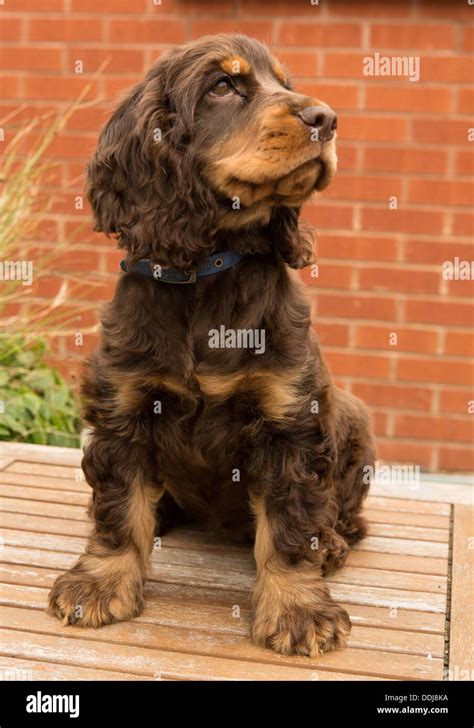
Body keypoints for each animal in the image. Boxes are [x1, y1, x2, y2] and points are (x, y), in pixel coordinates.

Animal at [48, 35, 374, 660]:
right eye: (223, 86)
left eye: (285, 83)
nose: (327, 119)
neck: (206, 269)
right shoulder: (125, 406)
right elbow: (119, 506)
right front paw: (99, 583)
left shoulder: (289, 417)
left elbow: (290, 518)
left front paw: (298, 609)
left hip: (350, 416)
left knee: (341, 514)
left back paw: (332, 544)